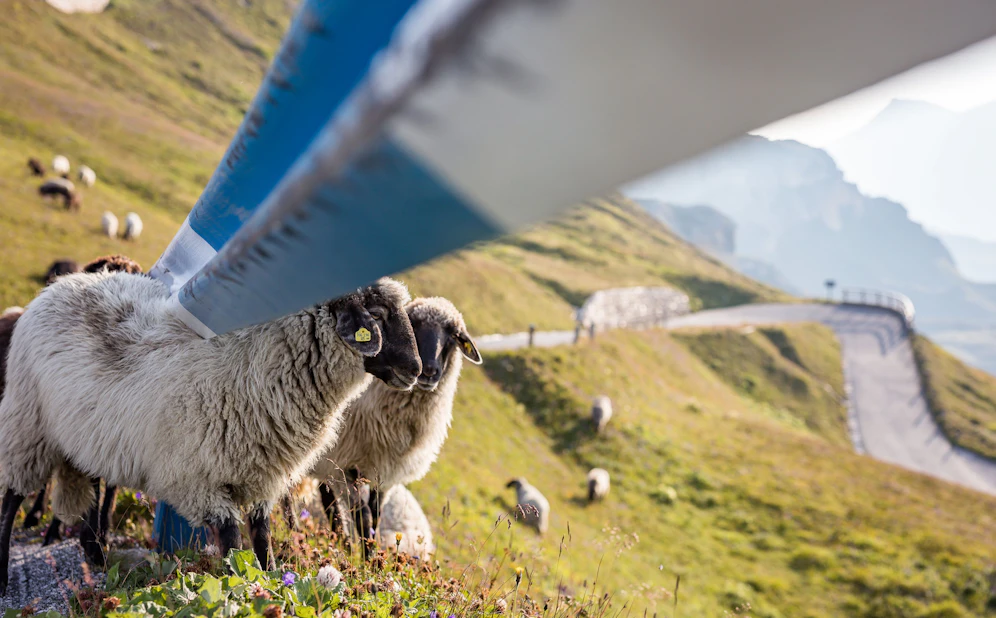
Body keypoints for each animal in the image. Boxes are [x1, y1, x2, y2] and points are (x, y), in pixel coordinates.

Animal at [0, 274, 419, 589]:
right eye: (377, 314)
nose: (417, 370)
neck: (252, 365)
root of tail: (60, 284)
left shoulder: (262, 476)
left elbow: (262, 539)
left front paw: (270, 584)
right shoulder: (197, 482)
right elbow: (232, 542)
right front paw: (242, 589)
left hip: (84, 435)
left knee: (88, 490)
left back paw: (97, 559)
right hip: (28, 424)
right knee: (11, 499)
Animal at [308, 296, 481, 542]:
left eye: (453, 336)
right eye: (413, 325)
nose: (429, 371)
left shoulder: (385, 473)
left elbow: (376, 515)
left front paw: (371, 552)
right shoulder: (345, 463)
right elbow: (363, 516)